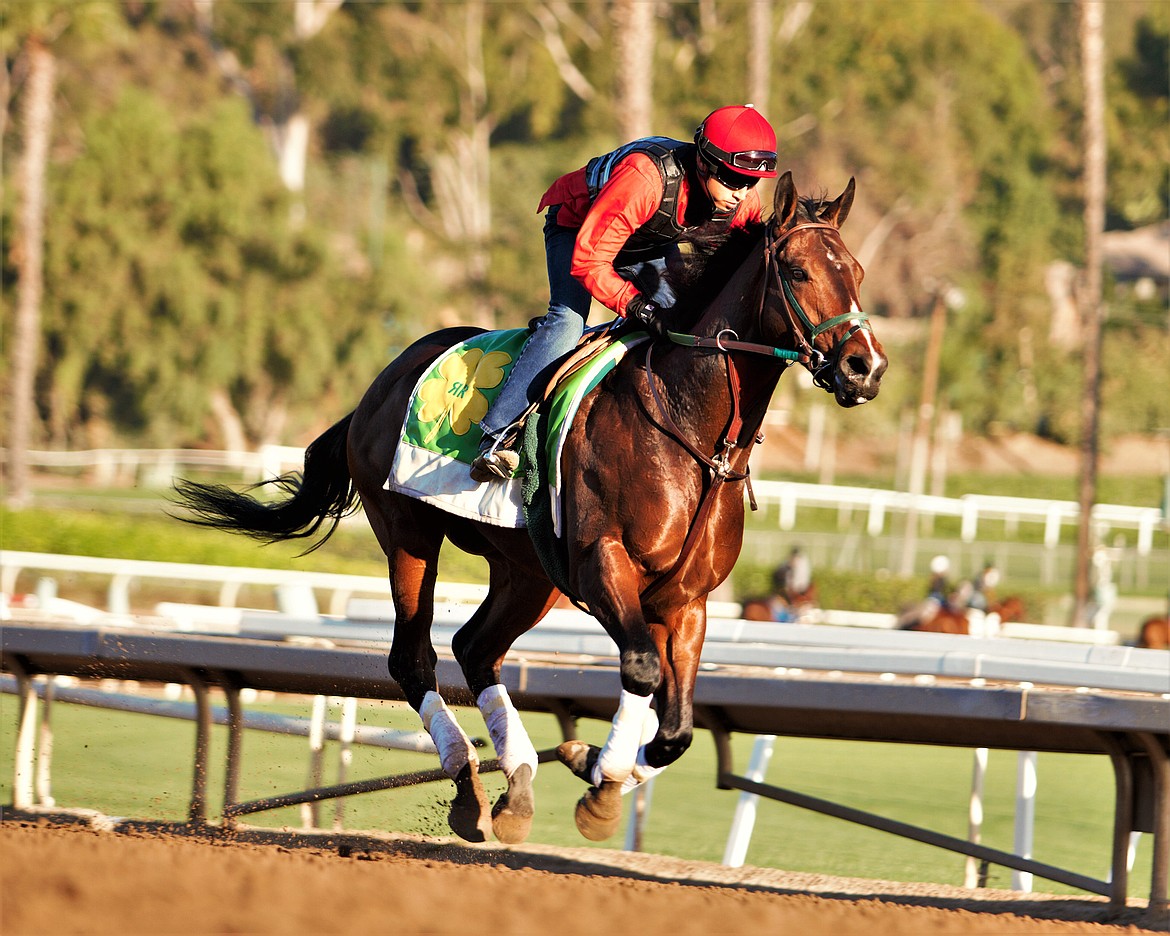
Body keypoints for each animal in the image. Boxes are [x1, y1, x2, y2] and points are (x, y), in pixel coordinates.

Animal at [170, 171, 884, 842]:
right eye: (798, 271)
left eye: (856, 273)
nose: (865, 367)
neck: (689, 430)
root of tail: (385, 378)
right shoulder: (602, 564)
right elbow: (642, 668)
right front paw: (598, 781)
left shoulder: (688, 600)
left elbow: (676, 729)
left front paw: (592, 762)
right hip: (408, 533)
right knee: (414, 656)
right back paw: (468, 784)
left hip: (529, 572)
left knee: (476, 647)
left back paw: (516, 782)